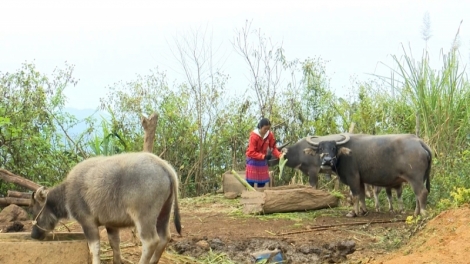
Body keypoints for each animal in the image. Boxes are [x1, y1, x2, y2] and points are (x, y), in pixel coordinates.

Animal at [30, 153, 182, 264]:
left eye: (36, 211)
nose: (33, 235)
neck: (67, 193)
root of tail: (164, 166)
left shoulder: (87, 223)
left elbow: (95, 248)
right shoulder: (111, 225)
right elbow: (114, 244)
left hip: (144, 217)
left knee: (151, 241)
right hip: (164, 212)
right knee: (164, 237)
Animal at [304, 133, 434, 218]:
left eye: (333, 148)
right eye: (320, 148)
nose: (327, 161)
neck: (344, 155)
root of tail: (419, 142)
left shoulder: (353, 177)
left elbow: (355, 195)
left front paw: (354, 213)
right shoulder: (361, 180)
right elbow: (362, 195)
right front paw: (363, 211)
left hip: (415, 178)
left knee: (422, 192)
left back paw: (422, 213)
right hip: (420, 178)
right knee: (418, 195)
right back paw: (416, 213)